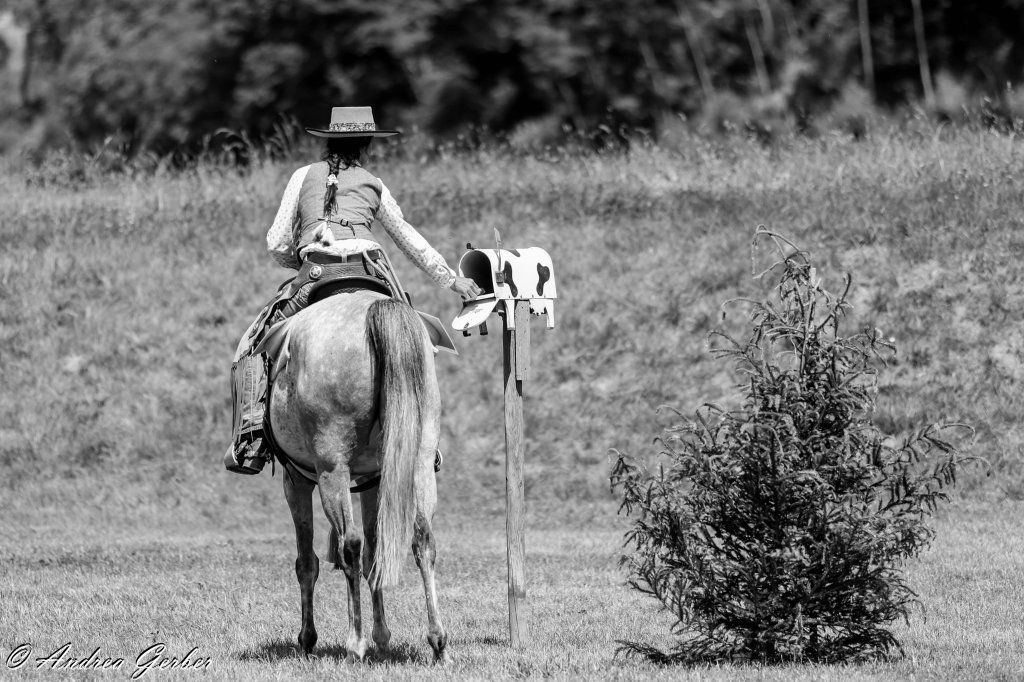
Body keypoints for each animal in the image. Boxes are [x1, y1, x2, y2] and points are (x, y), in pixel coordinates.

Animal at [266, 289, 448, 663]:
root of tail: (375, 307)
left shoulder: (296, 480)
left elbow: (307, 562)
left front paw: (308, 639)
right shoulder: (373, 479)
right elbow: (375, 552)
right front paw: (382, 634)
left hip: (331, 469)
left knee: (349, 544)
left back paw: (355, 643)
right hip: (419, 462)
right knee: (423, 539)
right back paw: (438, 643)